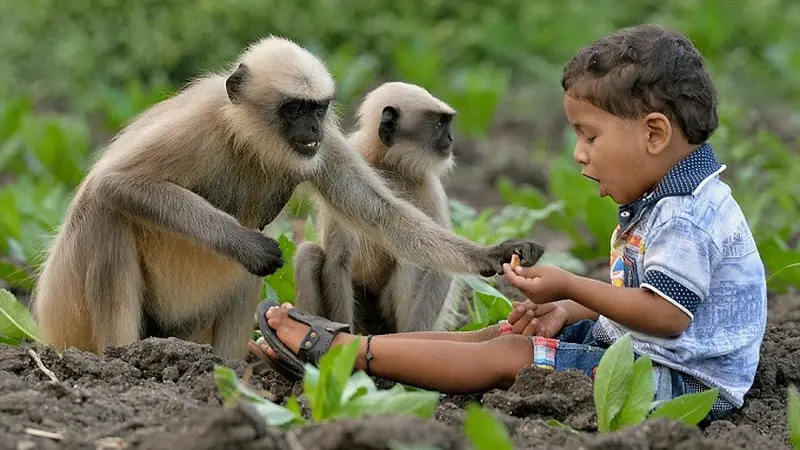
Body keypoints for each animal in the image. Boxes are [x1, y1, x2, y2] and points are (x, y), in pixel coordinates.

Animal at [294, 81, 512, 334]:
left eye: (447, 123)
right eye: (440, 124)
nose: (451, 138)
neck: (387, 164)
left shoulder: (429, 186)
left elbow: (438, 264)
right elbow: (338, 259)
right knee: (308, 254)